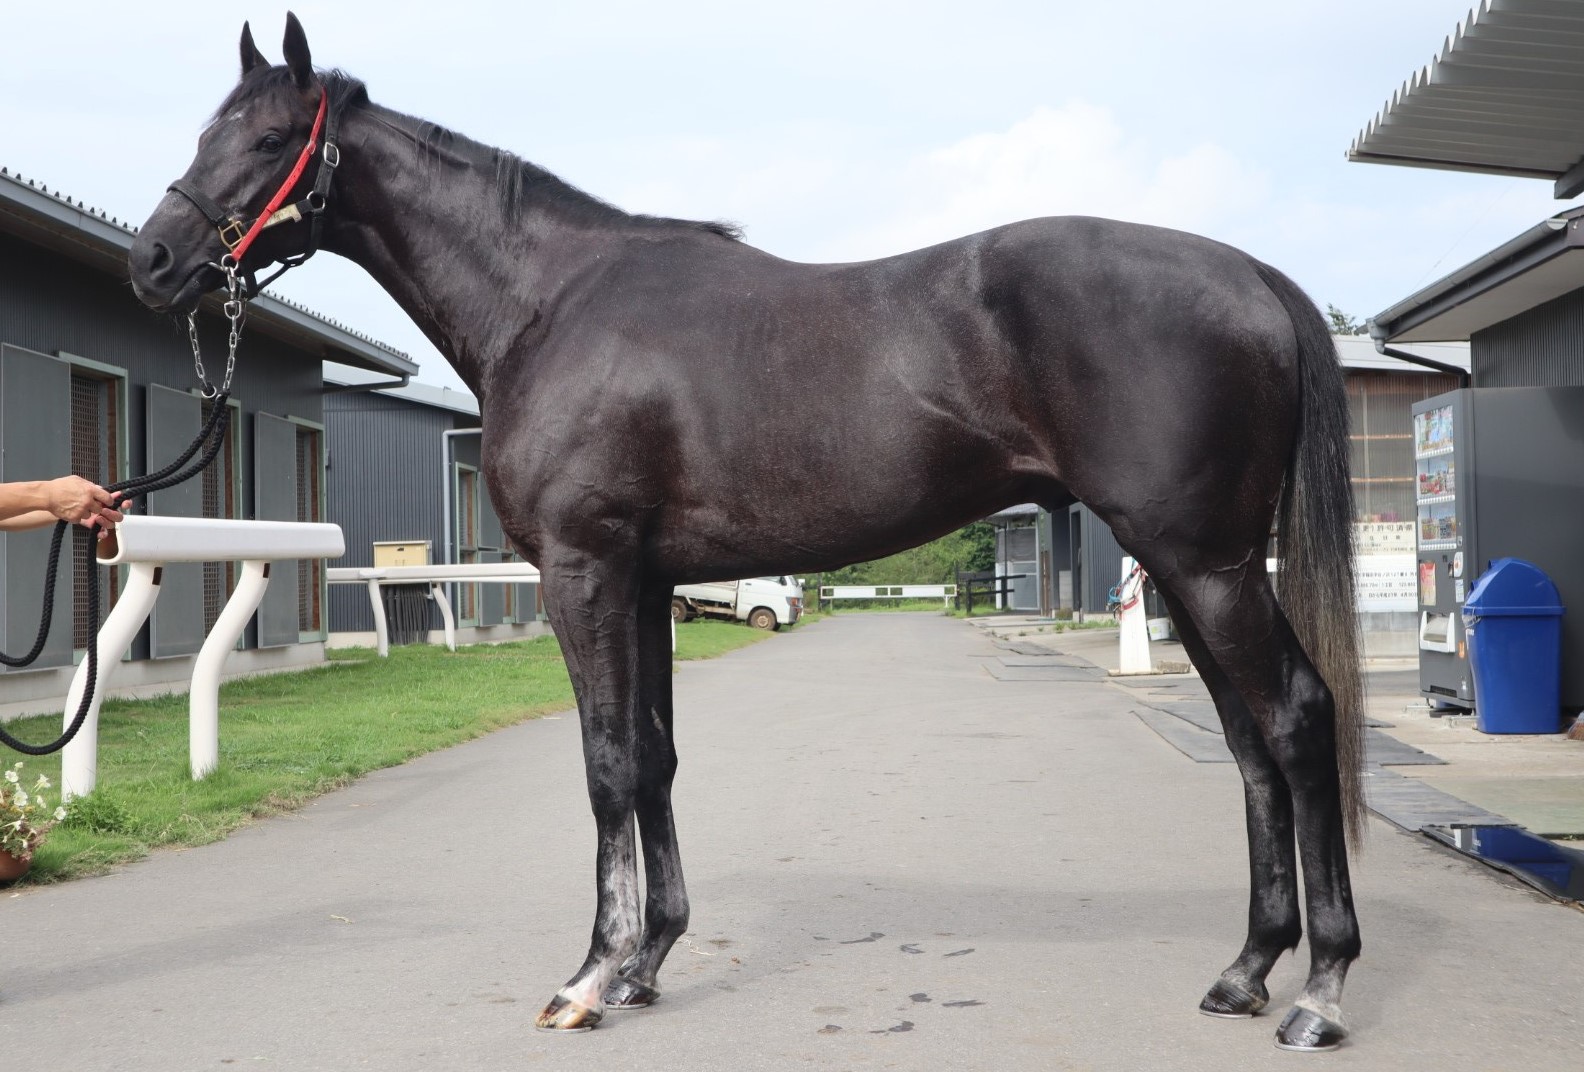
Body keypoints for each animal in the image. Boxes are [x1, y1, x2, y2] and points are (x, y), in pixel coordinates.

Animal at [128, 14, 1366, 1052]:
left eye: (273, 136)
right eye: (205, 131)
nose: (154, 261)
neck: (550, 303)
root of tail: (1256, 277)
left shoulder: (584, 571)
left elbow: (607, 764)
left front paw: (589, 976)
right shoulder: (644, 584)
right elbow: (656, 759)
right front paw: (648, 963)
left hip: (1208, 564)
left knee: (1298, 719)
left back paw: (1319, 990)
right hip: (1187, 565)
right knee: (1249, 743)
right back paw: (1247, 968)